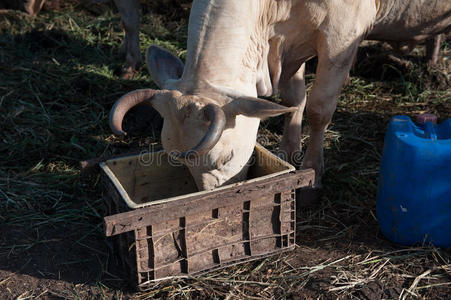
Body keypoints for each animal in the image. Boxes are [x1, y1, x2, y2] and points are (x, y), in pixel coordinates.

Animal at [110, 0, 451, 191]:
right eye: (174, 157)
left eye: (226, 158)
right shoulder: (289, 41)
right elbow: (293, 100)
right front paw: (288, 151)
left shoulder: (341, 36)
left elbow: (318, 108)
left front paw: (313, 172)